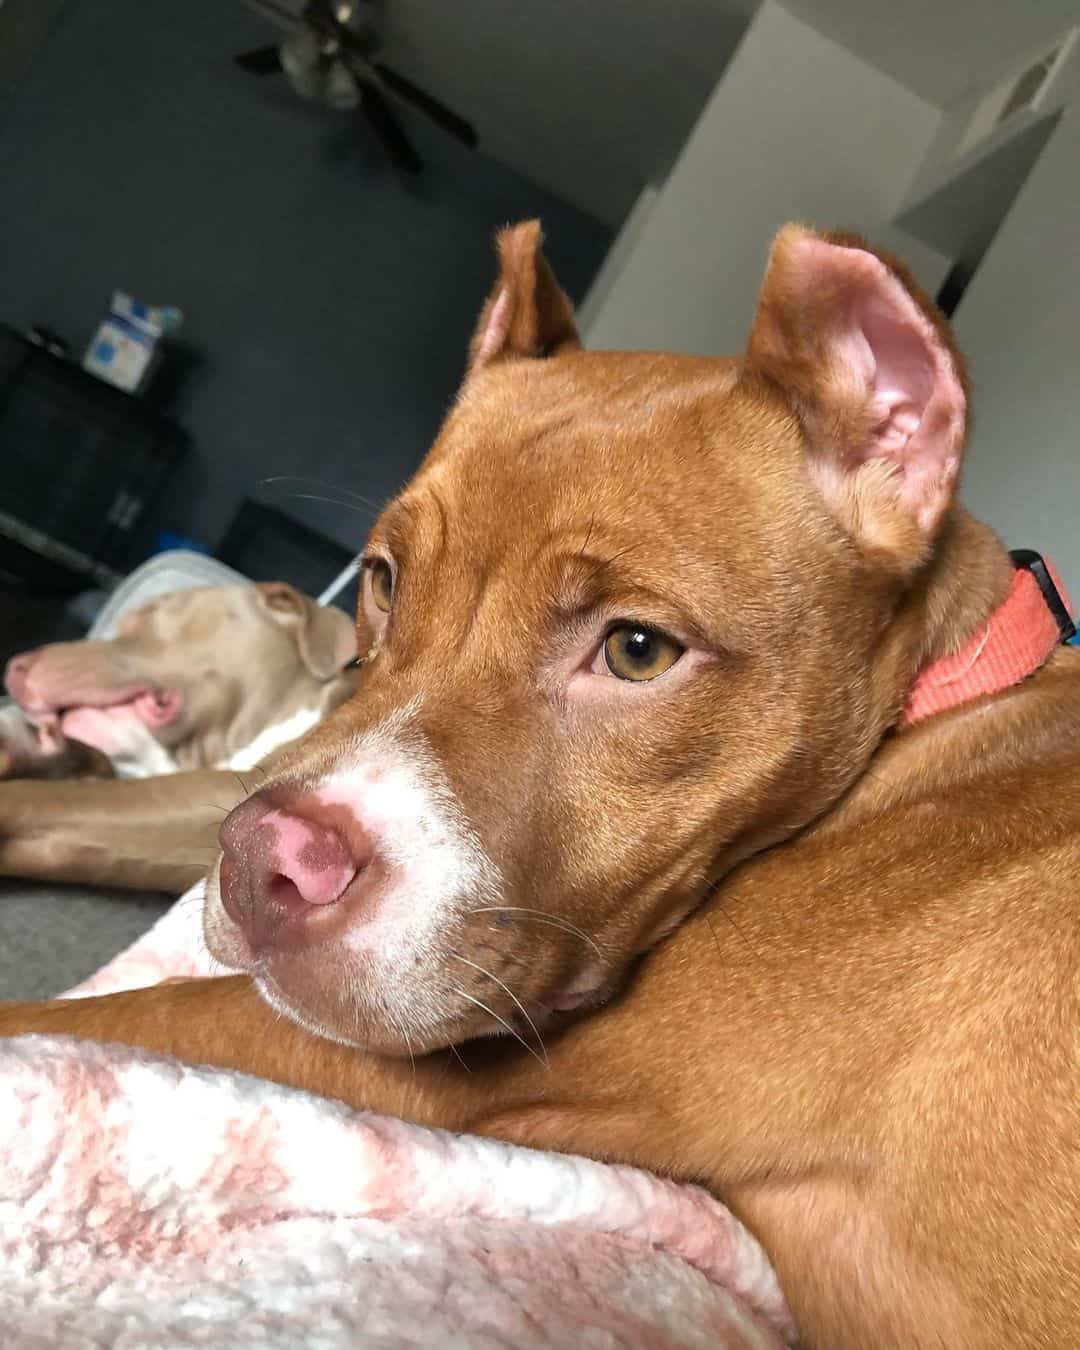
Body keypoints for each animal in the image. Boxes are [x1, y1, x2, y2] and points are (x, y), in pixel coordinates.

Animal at [4, 224, 1074, 1350]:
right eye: (383, 579)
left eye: (639, 651)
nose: (260, 865)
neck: (935, 707)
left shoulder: (460, 1068)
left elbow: (95, 1016)